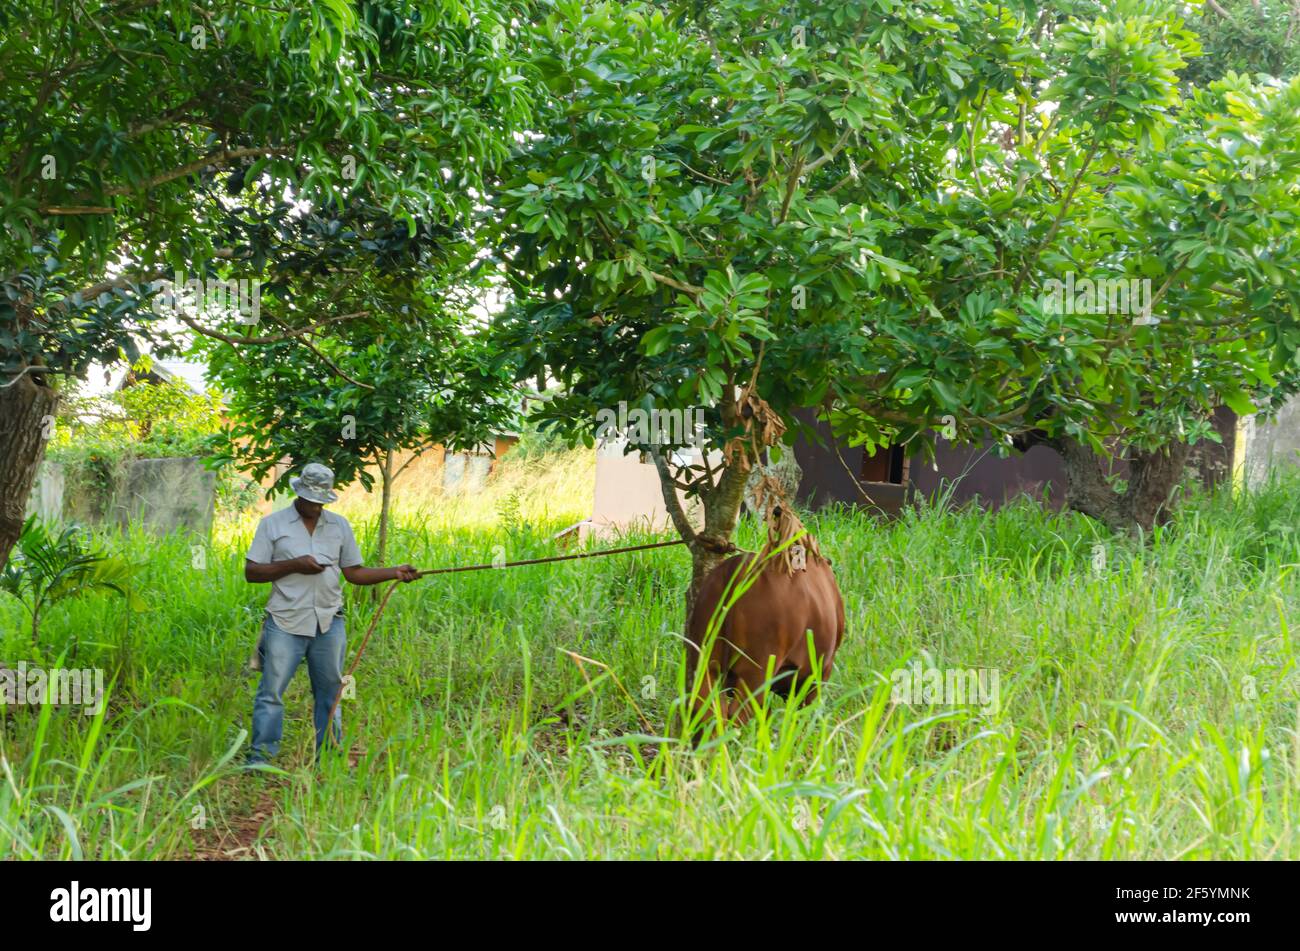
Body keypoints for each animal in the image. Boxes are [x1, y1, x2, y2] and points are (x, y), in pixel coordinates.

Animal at [686, 501, 847, 732]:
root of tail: (737, 570)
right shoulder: (817, 674)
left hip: (706, 662)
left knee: (707, 711)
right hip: (757, 670)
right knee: (737, 714)